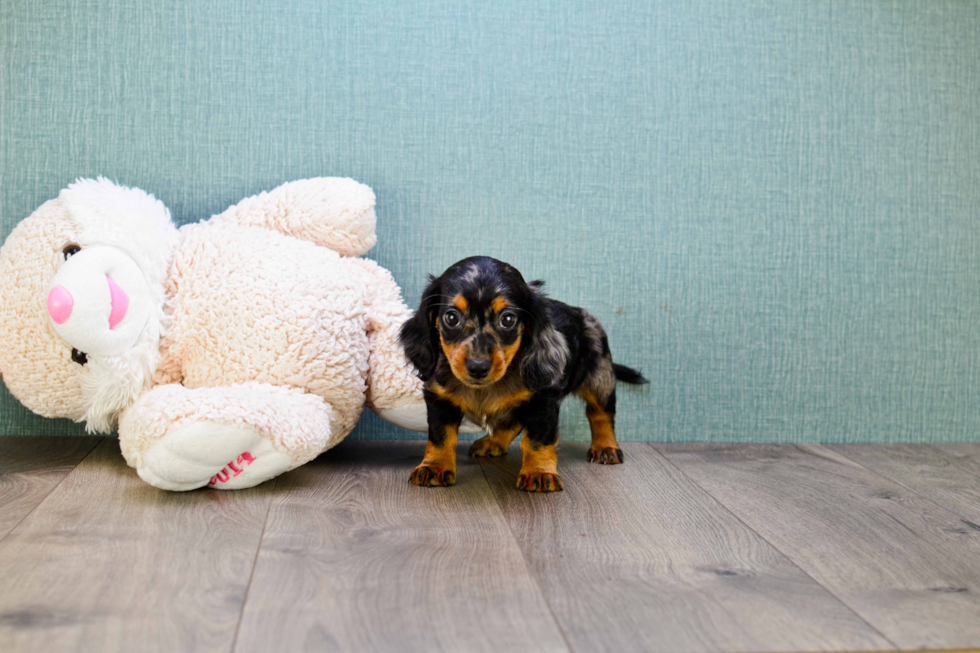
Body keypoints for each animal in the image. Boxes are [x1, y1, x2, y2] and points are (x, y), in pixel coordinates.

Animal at [398, 258, 652, 492]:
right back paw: (494, 441)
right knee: (513, 422)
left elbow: (536, 439)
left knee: (601, 415)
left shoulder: (542, 401)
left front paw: (539, 472)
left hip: (599, 379)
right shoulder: (438, 399)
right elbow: (441, 437)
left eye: (508, 319)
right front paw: (435, 466)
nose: (478, 367)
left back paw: (605, 447)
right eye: (451, 317)